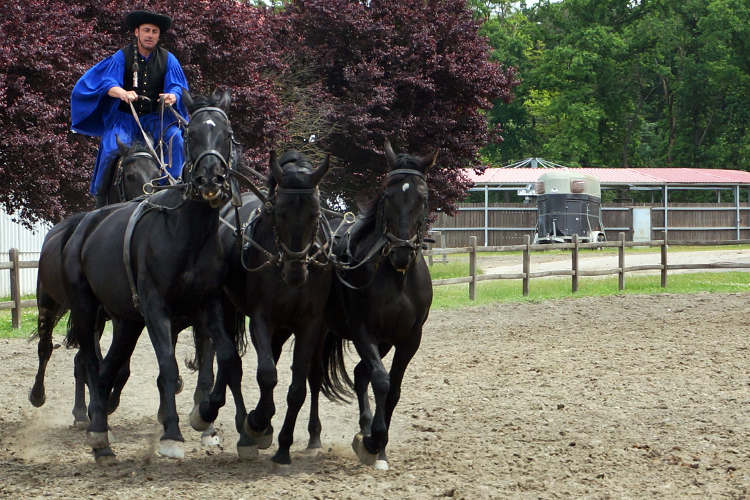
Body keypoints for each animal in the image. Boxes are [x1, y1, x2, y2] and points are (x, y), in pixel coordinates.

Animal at [29, 138, 163, 422]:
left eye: (158, 174)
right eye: (129, 175)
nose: (147, 201)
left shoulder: (124, 317)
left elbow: (118, 366)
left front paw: (105, 404)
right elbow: (97, 362)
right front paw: (98, 405)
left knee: (81, 360)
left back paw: (81, 410)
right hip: (48, 304)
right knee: (46, 347)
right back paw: (39, 395)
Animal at [62, 89, 244, 460]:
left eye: (227, 133)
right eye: (190, 135)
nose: (210, 180)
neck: (185, 231)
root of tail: (85, 227)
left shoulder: (208, 307)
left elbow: (219, 362)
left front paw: (206, 423)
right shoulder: (156, 308)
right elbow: (168, 368)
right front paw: (171, 434)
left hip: (127, 321)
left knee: (107, 367)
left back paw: (101, 426)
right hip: (89, 314)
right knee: (88, 363)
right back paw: (92, 422)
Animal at [194, 149, 334, 464]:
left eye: (315, 214)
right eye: (279, 213)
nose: (296, 272)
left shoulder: (310, 323)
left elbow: (297, 388)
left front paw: (282, 446)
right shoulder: (261, 318)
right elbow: (267, 374)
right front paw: (257, 423)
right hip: (227, 306)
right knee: (228, 356)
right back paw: (215, 411)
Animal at [316, 140, 438, 468]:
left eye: (423, 197)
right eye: (387, 195)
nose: (401, 252)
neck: (397, 278)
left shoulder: (409, 338)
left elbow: (393, 388)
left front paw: (376, 444)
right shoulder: (363, 332)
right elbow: (381, 381)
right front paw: (373, 442)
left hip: (384, 341)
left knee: (360, 374)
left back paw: (364, 427)